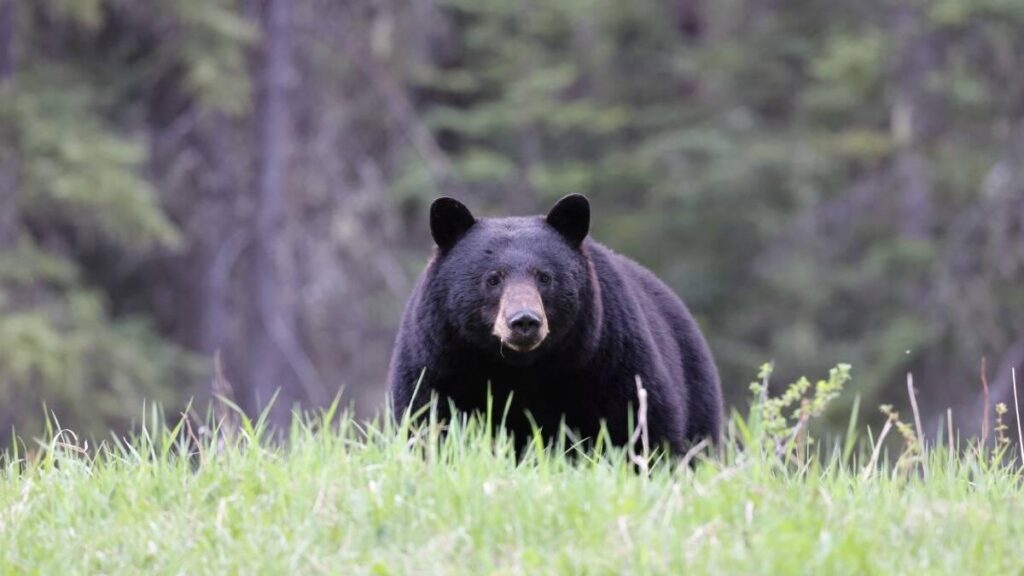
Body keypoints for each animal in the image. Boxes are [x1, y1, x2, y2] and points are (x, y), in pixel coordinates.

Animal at [388, 194, 723, 454]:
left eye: (544, 277)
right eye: (493, 278)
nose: (524, 321)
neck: (519, 369)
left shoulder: (610, 360)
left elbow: (640, 426)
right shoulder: (439, 363)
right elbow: (427, 423)